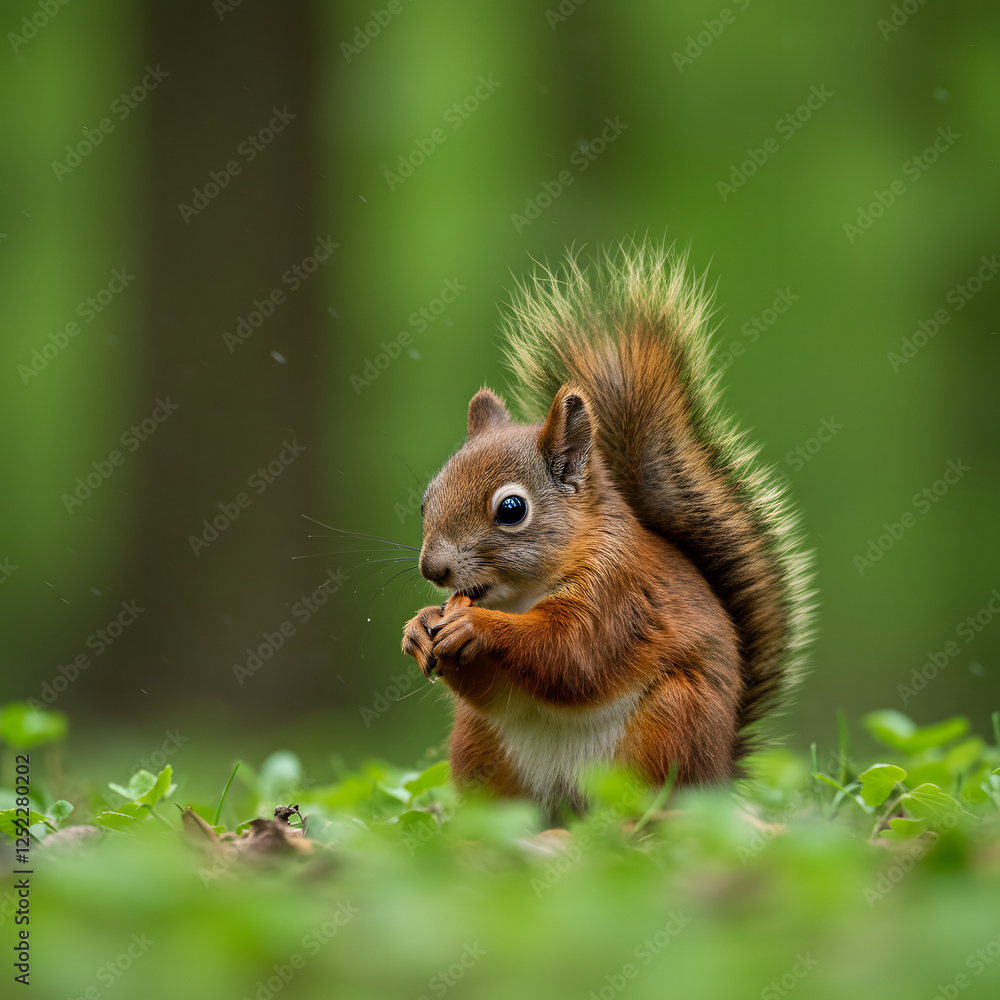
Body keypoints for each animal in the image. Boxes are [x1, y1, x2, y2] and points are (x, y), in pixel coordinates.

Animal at [401, 242, 813, 817]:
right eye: (426, 500)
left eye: (511, 509)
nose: (432, 570)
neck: (519, 596)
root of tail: (720, 772)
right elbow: (489, 688)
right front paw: (419, 626)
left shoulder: (618, 594)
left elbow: (571, 654)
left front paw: (478, 627)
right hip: (481, 745)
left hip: (671, 723)